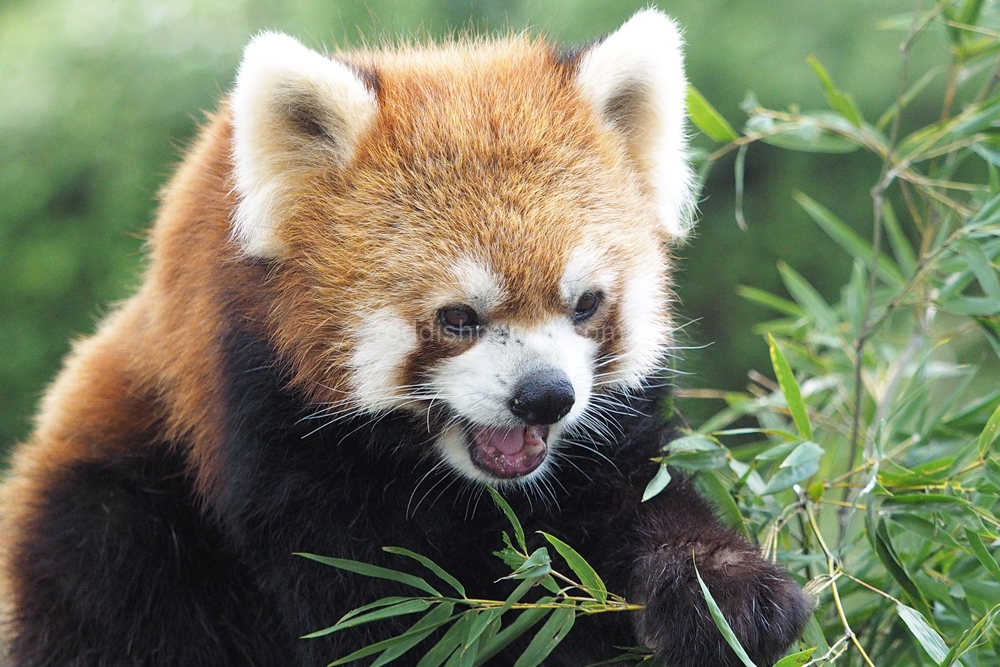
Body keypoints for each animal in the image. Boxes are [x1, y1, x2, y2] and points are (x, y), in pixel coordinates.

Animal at [0, 11, 808, 667]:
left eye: (584, 305)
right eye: (458, 318)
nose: (545, 397)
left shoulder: (603, 447)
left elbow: (642, 497)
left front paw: (727, 593)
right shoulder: (277, 466)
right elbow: (382, 619)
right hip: (101, 534)